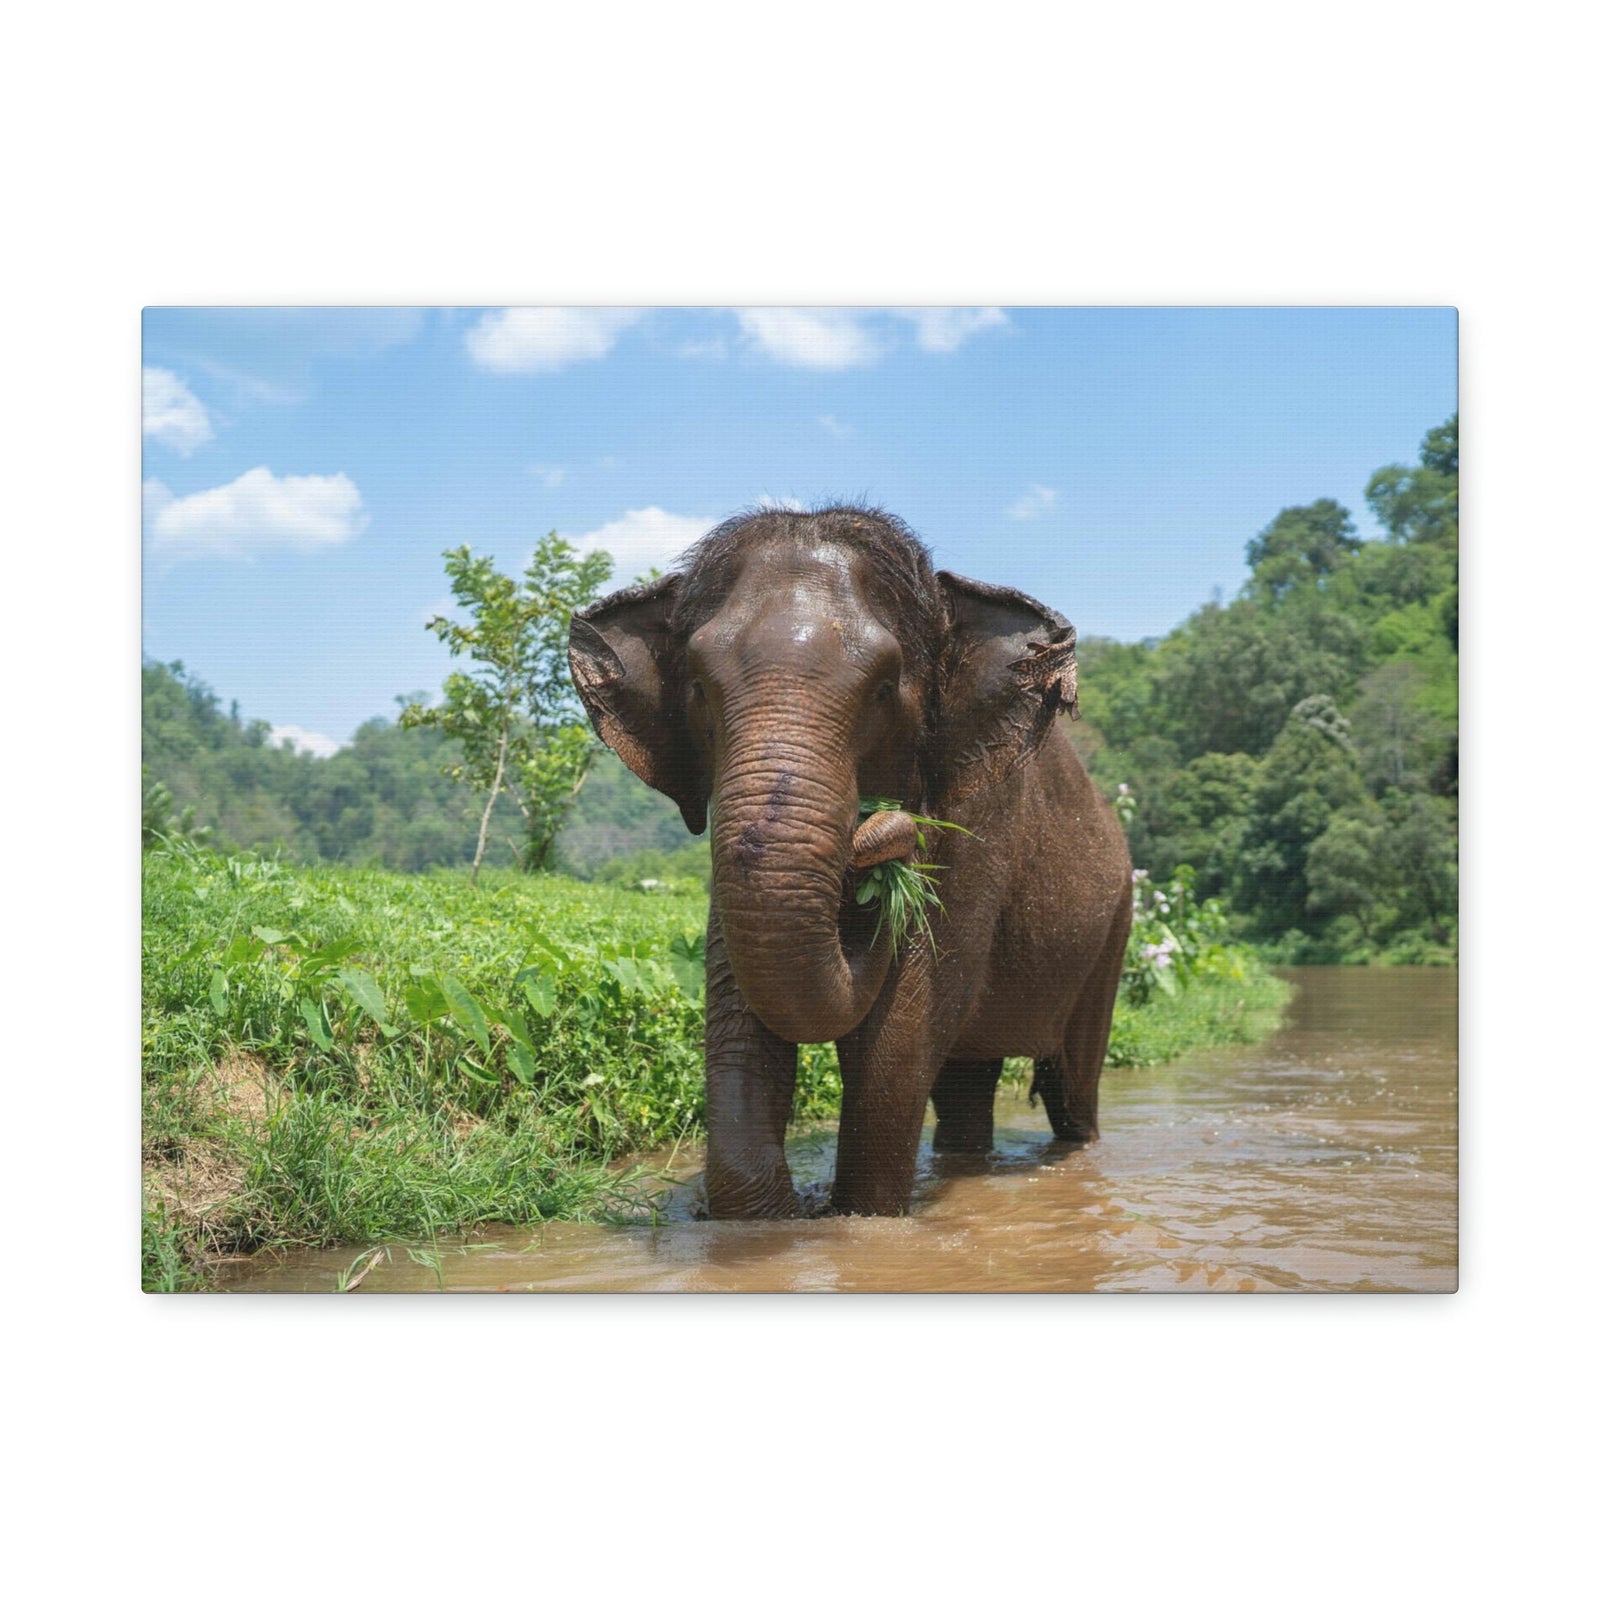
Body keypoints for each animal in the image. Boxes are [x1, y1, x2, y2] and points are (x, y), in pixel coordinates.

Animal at [568, 505, 1133, 1218]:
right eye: (696, 687)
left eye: (885, 689)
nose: (880, 832)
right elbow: (742, 1017)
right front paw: (771, 1218)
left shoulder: (980, 827)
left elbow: (897, 1037)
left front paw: (859, 1219)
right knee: (965, 1085)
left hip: (1113, 929)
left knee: (1071, 1086)